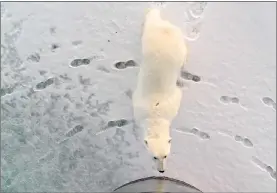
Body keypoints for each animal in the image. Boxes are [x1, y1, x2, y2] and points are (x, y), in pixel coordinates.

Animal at [132, 8, 188, 173]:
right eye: (154, 157)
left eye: (166, 155)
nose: (161, 170)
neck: (155, 112)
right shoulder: (137, 105)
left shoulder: (174, 102)